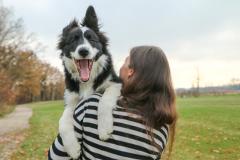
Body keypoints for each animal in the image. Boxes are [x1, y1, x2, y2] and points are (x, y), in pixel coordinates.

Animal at [58, 5, 122, 159]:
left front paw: (104, 128)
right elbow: (62, 121)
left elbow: (104, 100)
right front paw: (72, 148)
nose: (83, 51)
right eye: (73, 40)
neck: (87, 82)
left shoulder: (116, 83)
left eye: (91, 39)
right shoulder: (72, 99)